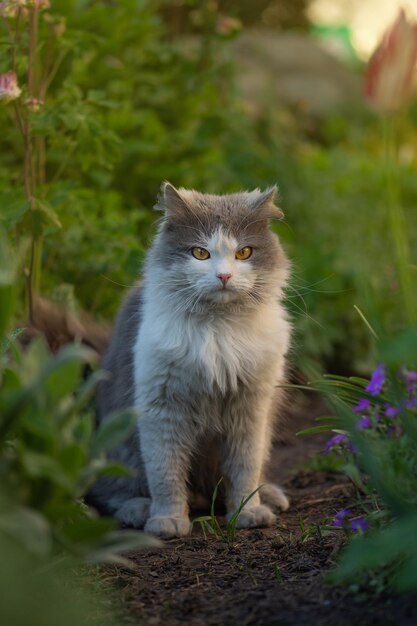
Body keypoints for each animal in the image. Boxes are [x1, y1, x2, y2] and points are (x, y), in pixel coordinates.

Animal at [90, 180, 292, 536]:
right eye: (200, 253)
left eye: (244, 253)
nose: (224, 276)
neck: (218, 330)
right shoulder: (161, 409)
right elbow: (166, 475)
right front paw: (168, 521)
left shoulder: (251, 409)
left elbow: (244, 468)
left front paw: (247, 512)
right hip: (121, 444)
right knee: (113, 489)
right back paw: (138, 510)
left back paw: (269, 496)